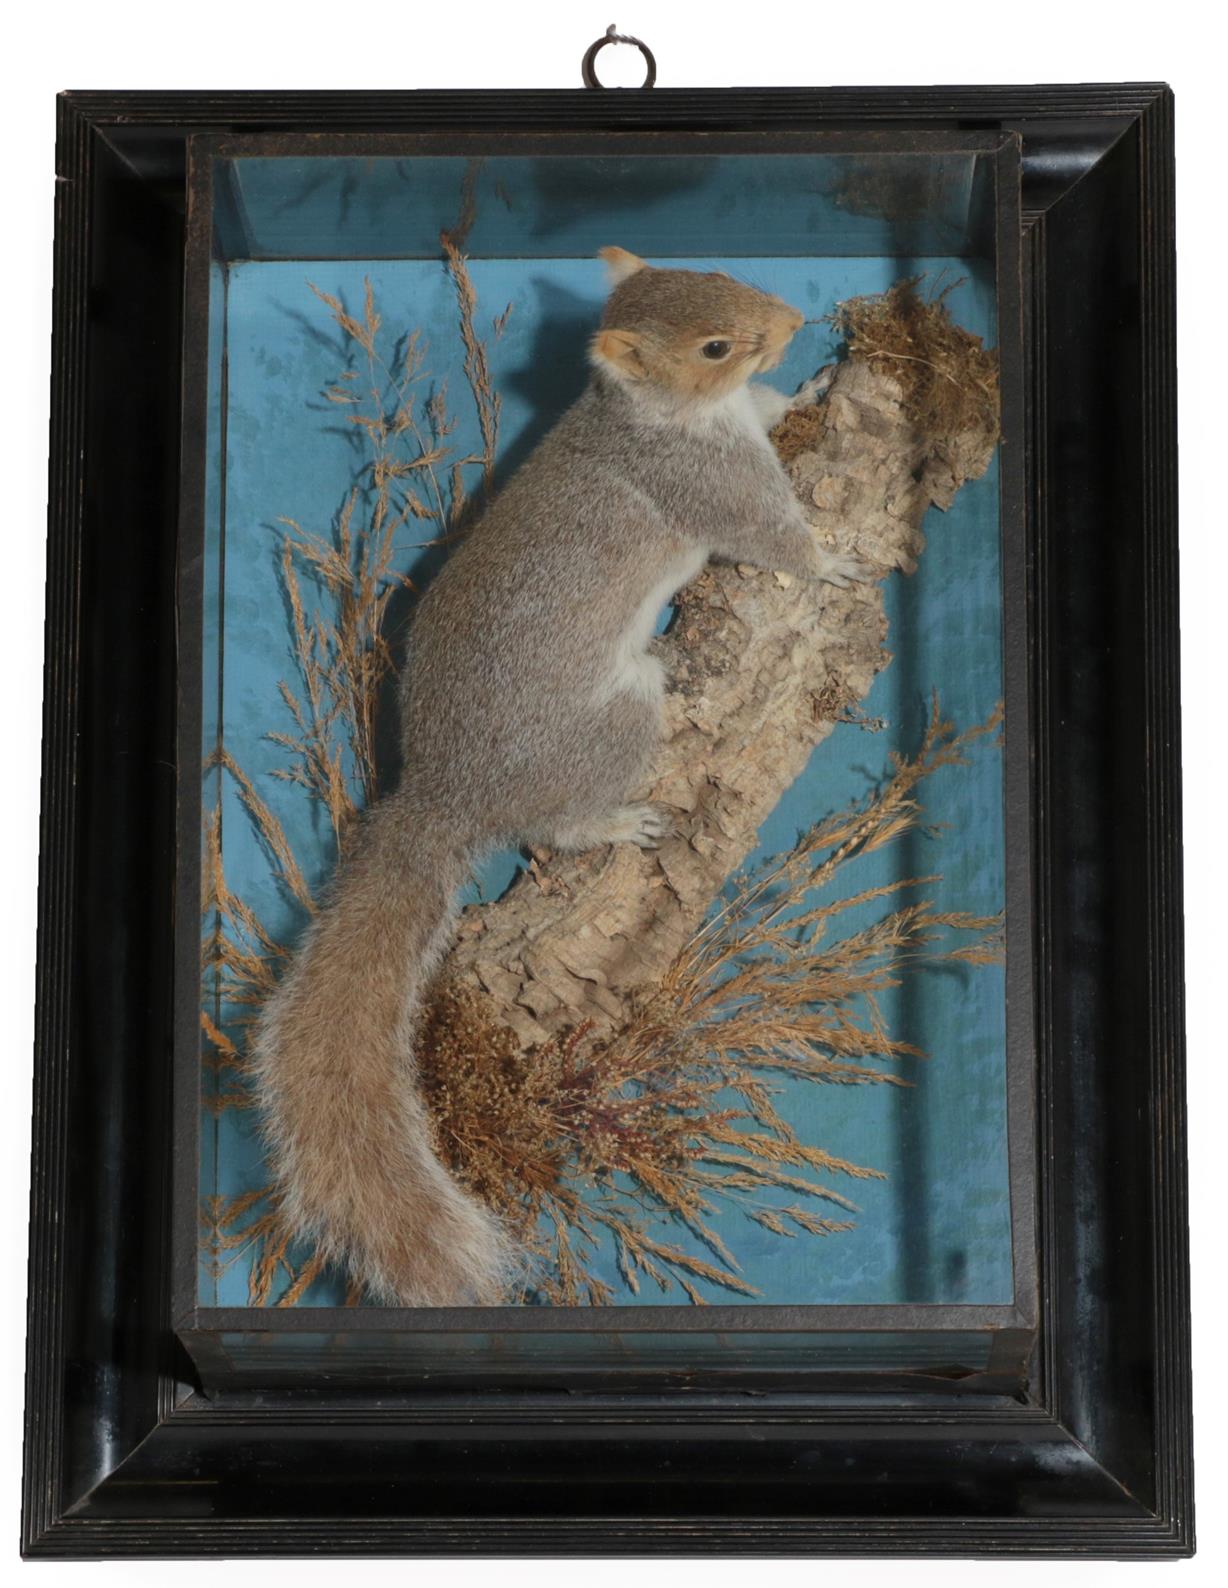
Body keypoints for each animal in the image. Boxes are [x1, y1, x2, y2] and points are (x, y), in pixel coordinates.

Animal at [251, 247, 864, 1302]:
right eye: (714, 345)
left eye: (720, 271)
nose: (791, 319)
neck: (665, 415)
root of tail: (444, 791)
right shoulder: (709, 487)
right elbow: (772, 538)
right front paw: (830, 562)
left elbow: (782, 407)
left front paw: (819, 385)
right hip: (616, 722)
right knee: (547, 826)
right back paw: (611, 825)